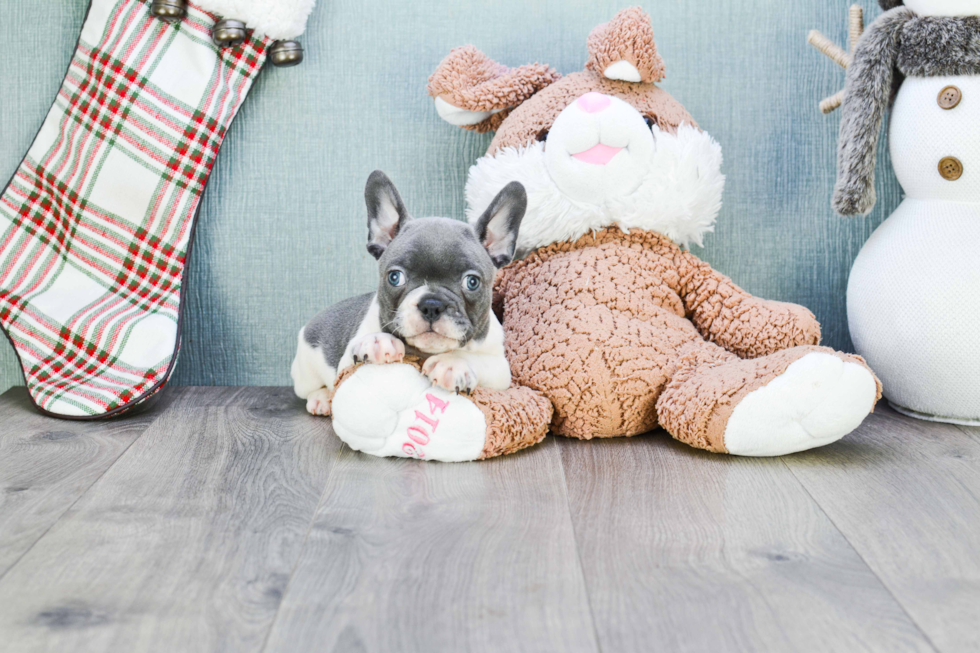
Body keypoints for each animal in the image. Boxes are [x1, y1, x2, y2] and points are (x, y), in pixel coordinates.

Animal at [290, 171, 524, 416]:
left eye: (472, 282)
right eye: (395, 277)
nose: (432, 304)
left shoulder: (501, 370)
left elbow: (476, 358)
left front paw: (451, 363)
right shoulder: (347, 363)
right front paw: (378, 341)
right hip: (304, 370)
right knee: (310, 389)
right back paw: (322, 398)